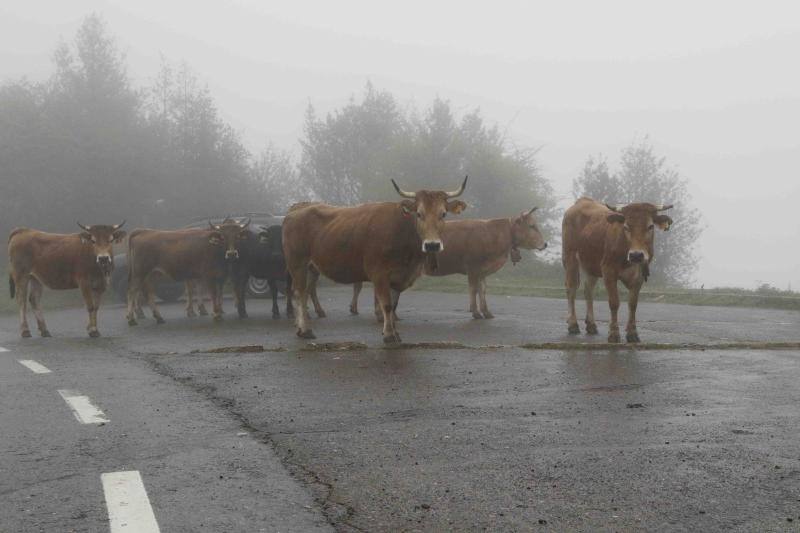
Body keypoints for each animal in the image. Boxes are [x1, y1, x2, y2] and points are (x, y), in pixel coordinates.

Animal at [282, 175, 466, 340]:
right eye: (419, 214)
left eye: (443, 214)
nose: (432, 245)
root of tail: (294, 212)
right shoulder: (379, 274)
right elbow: (386, 304)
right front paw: (389, 335)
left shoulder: (399, 277)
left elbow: (394, 305)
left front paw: (394, 331)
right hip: (297, 264)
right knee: (300, 293)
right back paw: (305, 330)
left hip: (311, 268)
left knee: (304, 291)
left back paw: (300, 327)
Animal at [564, 197, 676, 342]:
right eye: (626, 227)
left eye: (650, 226)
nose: (636, 255)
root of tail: (582, 201)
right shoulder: (608, 270)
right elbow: (614, 302)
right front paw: (613, 333)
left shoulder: (639, 275)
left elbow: (633, 304)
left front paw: (632, 333)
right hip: (570, 257)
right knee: (571, 289)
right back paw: (573, 324)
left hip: (591, 265)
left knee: (588, 290)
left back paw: (591, 325)